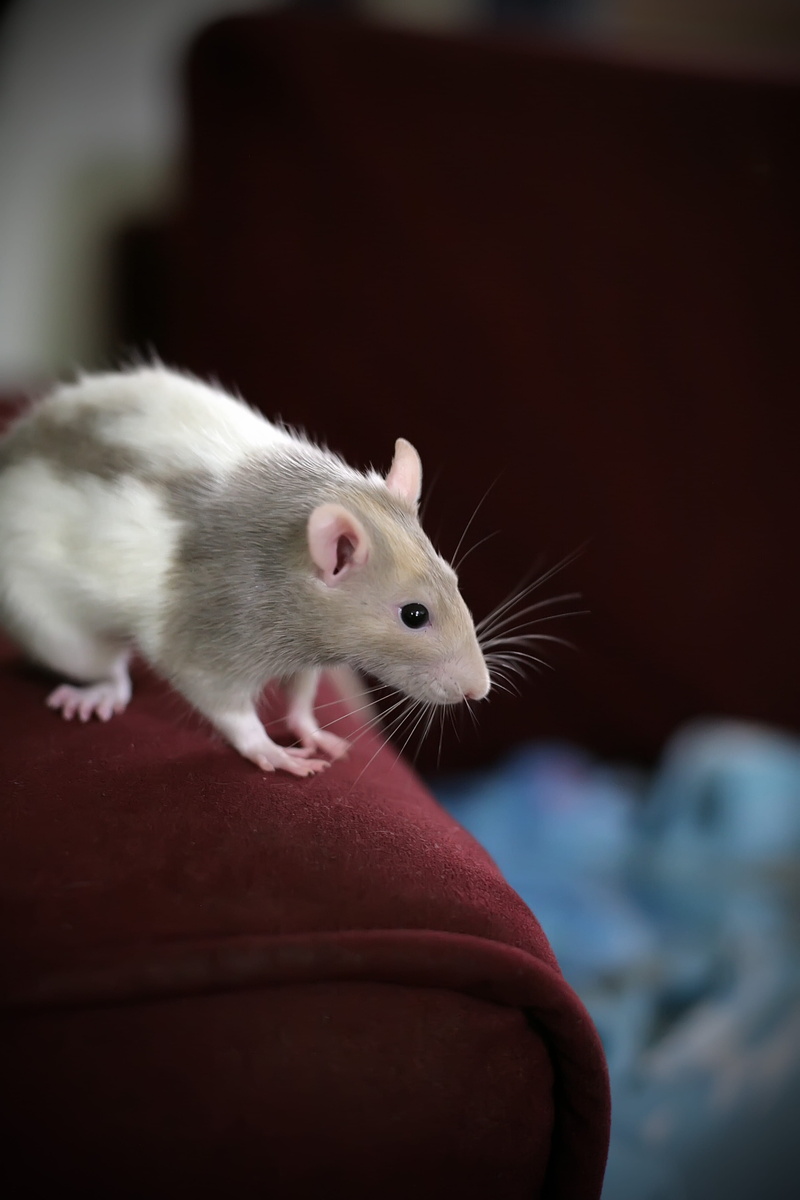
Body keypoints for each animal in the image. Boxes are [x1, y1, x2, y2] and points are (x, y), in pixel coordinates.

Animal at [0, 366, 490, 776]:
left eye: (455, 580)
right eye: (414, 615)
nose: (479, 691)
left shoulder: (309, 649)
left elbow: (302, 688)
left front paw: (308, 728)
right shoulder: (218, 616)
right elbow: (212, 689)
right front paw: (268, 748)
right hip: (55, 628)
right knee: (100, 664)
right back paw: (101, 689)